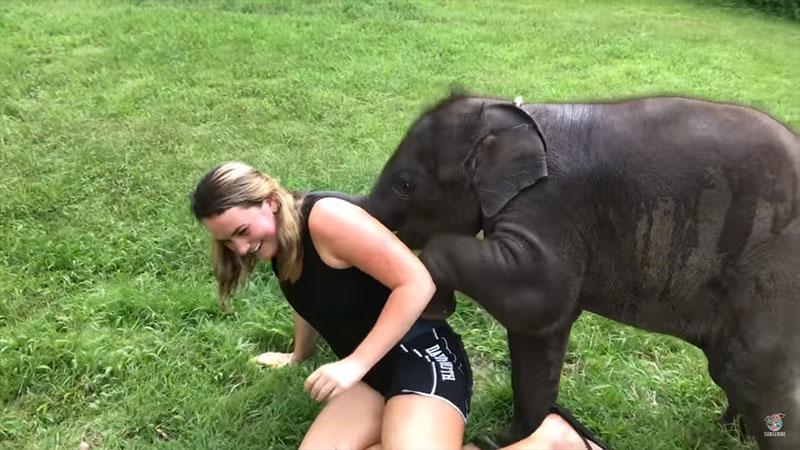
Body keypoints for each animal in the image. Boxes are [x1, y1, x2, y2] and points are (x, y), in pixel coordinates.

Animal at [363, 93, 800, 449]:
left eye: (405, 184)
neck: (511, 114)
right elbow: (540, 329)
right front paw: (509, 439)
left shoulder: (551, 207)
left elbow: (542, 297)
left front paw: (433, 304)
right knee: (733, 374)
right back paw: (727, 433)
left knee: (757, 377)